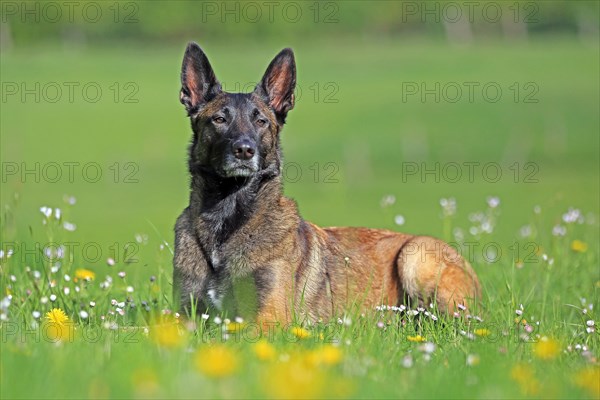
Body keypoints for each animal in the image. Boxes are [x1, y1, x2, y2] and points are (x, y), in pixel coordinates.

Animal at [172, 43, 478, 324]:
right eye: (219, 119)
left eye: (261, 121)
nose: (245, 150)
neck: (226, 221)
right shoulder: (183, 317)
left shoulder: (269, 318)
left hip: (415, 256)